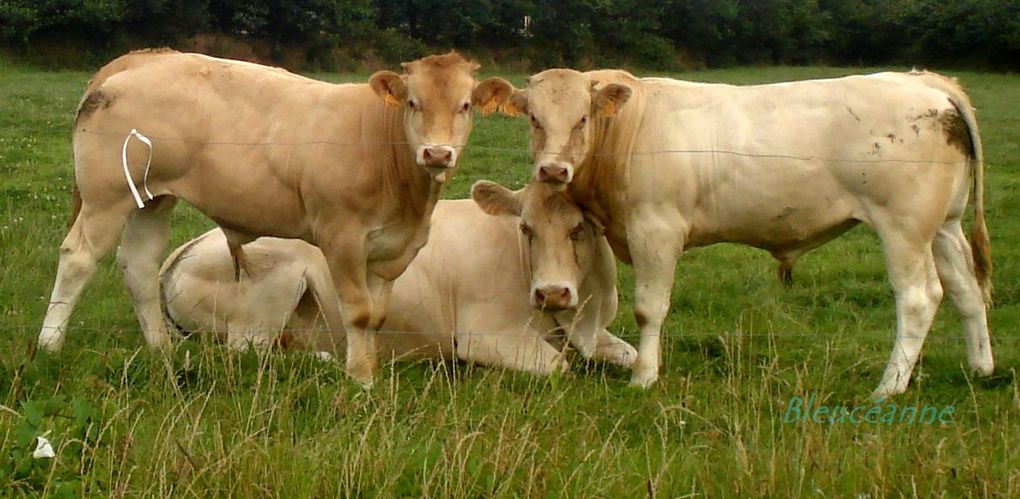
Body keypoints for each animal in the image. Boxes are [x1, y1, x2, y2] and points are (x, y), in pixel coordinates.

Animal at [35, 49, 514, 385]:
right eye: (413, 102)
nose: (437, 153)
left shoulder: (391, 250)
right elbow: (358, 313)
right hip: (107, 194)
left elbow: (377, 317)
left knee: (139, 264)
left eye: (465, 105)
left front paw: (371, 372)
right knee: (78, 258)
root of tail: (146, 57)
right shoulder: (341, 236)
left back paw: (161, 349)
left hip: (151, 198)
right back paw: (49, 345)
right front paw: (360, 381)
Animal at [157, 183, 636, 373]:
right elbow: (559, 366)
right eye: (527, 228)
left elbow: (629, 354)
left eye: (581, 228)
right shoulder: (486, 334)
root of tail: (184, 250)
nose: (552, 292)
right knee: (246, 353)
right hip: (273, 286)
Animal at [501, 68, 995, 395]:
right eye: (534, 118)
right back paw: (980, 368)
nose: (553, 169)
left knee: (918, 298)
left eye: (582, 118)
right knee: (966, 290)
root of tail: (924, 81)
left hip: (904, 229)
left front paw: (644, 377)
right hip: (945, 227)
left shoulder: (655, 230)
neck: (628, 129)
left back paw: (888, 387)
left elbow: (649, 309)